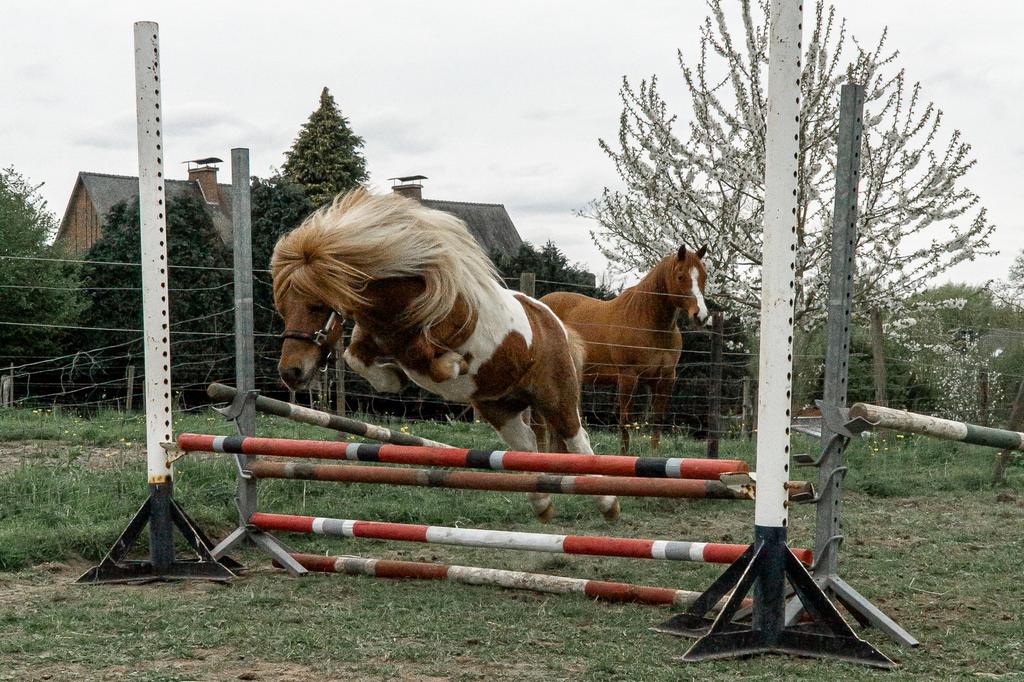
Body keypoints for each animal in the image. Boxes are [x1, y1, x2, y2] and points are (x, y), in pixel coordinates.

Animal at [271, 188, 619, 523]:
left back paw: (608, 504)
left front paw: (448, 366)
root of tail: (554, 323)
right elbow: (356, 358)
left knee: (577, 441)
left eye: (315, 306)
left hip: (555, 397)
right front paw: (393, 380)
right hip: (499, 406)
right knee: (526, 445)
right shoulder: (373, 342)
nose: (291, 372)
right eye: (282, 308)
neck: (399, 303)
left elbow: (428, 360)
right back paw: (542, 504)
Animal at [540, 245, 710, 454]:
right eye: (680, 276)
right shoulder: (628, 377)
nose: (701, 315)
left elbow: (657, 419)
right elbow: (625, 421)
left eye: (704, 276)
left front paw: (654, 453)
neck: (647, 323)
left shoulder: (665, 378)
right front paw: (624, 454)